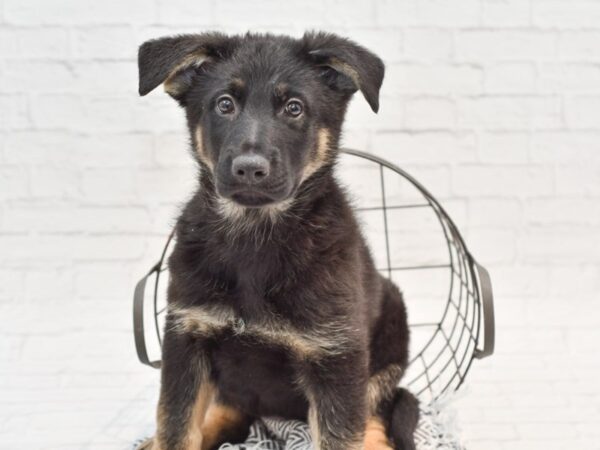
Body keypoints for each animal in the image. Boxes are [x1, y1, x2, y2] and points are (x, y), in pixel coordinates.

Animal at [136, 32, 418, 450]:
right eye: (224, 104)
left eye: (294, 108)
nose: (250, 169)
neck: (255, 237)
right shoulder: (187, 339)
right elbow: (176, 426)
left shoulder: (336, 357)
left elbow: (341, 434)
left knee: (377, 420)